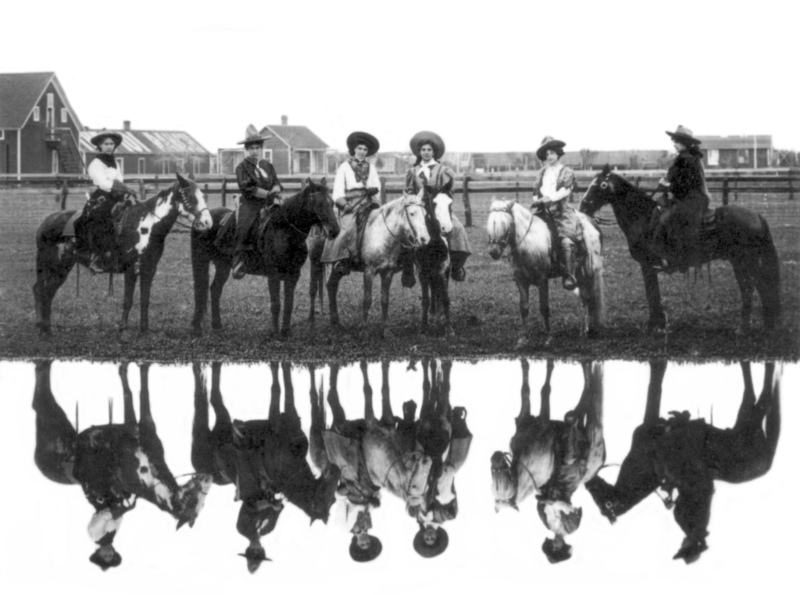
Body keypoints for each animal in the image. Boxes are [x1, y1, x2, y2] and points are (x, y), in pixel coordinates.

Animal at [33, 172, 212, 336]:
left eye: (203, 195)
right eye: (191, 196)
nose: (207, 222)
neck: (146, 225)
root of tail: (45, 223)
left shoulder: (149, 269)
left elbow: (145, 300)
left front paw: (144, 330)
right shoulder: (131, 269)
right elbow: (128, 300)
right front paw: (123, 328)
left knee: (41, 291)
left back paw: (42, 326)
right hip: (57, 268)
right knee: (45, 293)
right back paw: (45, 330)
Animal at [192, 177, 340, 338]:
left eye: (332, 203)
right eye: (319, 204)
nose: (334, 230)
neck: (284, 231)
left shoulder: (293, 274)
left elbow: (289, 303)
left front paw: (286, 331)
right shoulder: (273, 274)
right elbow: (276, 304)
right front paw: (275, 333)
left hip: (222, 265)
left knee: (215, 289)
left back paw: (216, 325)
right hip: (201, 260)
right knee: (199, 290)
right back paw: (197, 328)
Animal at [324, 192, 432, 338]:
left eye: (425, 213)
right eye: (412, 213)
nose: (424, 239)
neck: (382, 235)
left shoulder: (387, 272)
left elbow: (384, 300)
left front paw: (385, 330)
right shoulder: (369, 271)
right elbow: (367, 300)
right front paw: (364, 330)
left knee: (332, 286)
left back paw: (335, 323)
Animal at [484, 200, 604, 350]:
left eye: (506, 224)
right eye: (490, 223)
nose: (493, 251)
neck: (529, 243)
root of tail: (591, 223)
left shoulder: (542, 281)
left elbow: (544, 308)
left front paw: (548, 339)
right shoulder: (521, 281)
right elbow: (524, 308)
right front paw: (523, 339)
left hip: (588, 272)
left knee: (587, 298)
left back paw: (584, 332)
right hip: (579, 273)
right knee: (584, 298)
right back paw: (585, 329)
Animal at [580, 165, 780, 336]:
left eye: (598, 185)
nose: (583, 206)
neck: (643, 218)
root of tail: (757, 216)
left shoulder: (647, 265)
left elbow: (652, 294)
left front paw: (655, 326)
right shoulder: (648, 266)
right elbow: (653, 294)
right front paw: (658, 324)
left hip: (746, 261)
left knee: (756, 288)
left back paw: (753, 328)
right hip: (740, 262)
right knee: (751, 289)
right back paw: (757, 326)